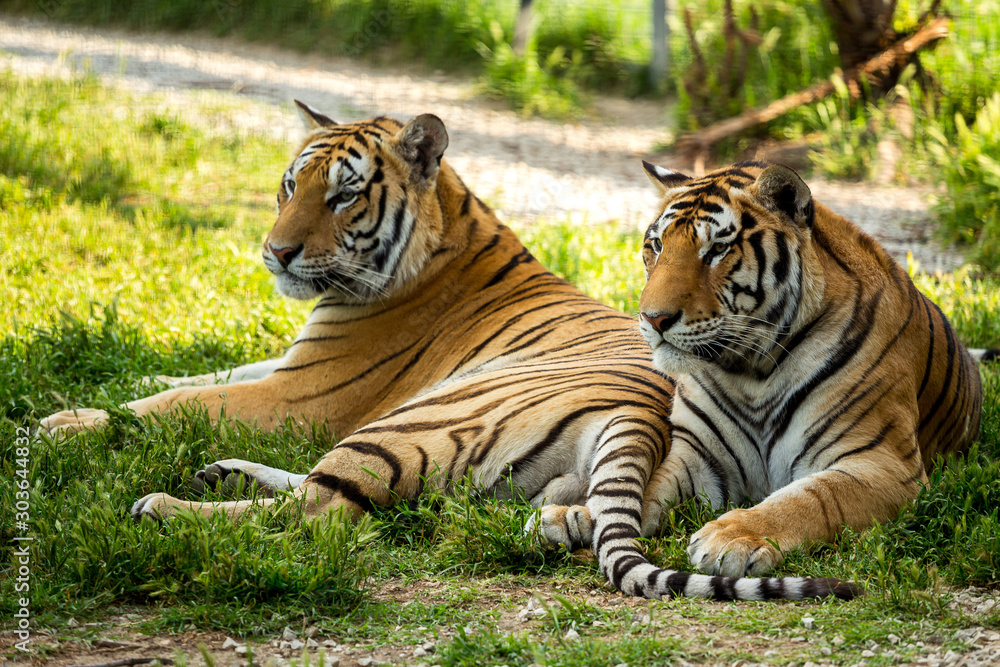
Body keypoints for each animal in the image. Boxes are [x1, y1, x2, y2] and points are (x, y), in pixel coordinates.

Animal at [43, 105, 856, 601]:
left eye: (342, 196)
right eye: (289, 184)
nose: (275, 252)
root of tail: (642, 418)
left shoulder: (301, 391)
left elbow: (176, 401)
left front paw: (58, 424)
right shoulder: (286, 365)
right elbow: (189, 374)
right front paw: (103, 384)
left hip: (429, 409)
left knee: (323, 508)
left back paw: (166, 506)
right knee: (344, 490)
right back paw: (218, 473)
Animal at [536, 159, 991, 591]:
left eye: (717, 250)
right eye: (657, 245)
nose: (654, 318)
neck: (753, 371)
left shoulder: (883, 464)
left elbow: (809, 497)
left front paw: (730, 537)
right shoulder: (699, 458)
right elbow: (649, 487)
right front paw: (577, 514)